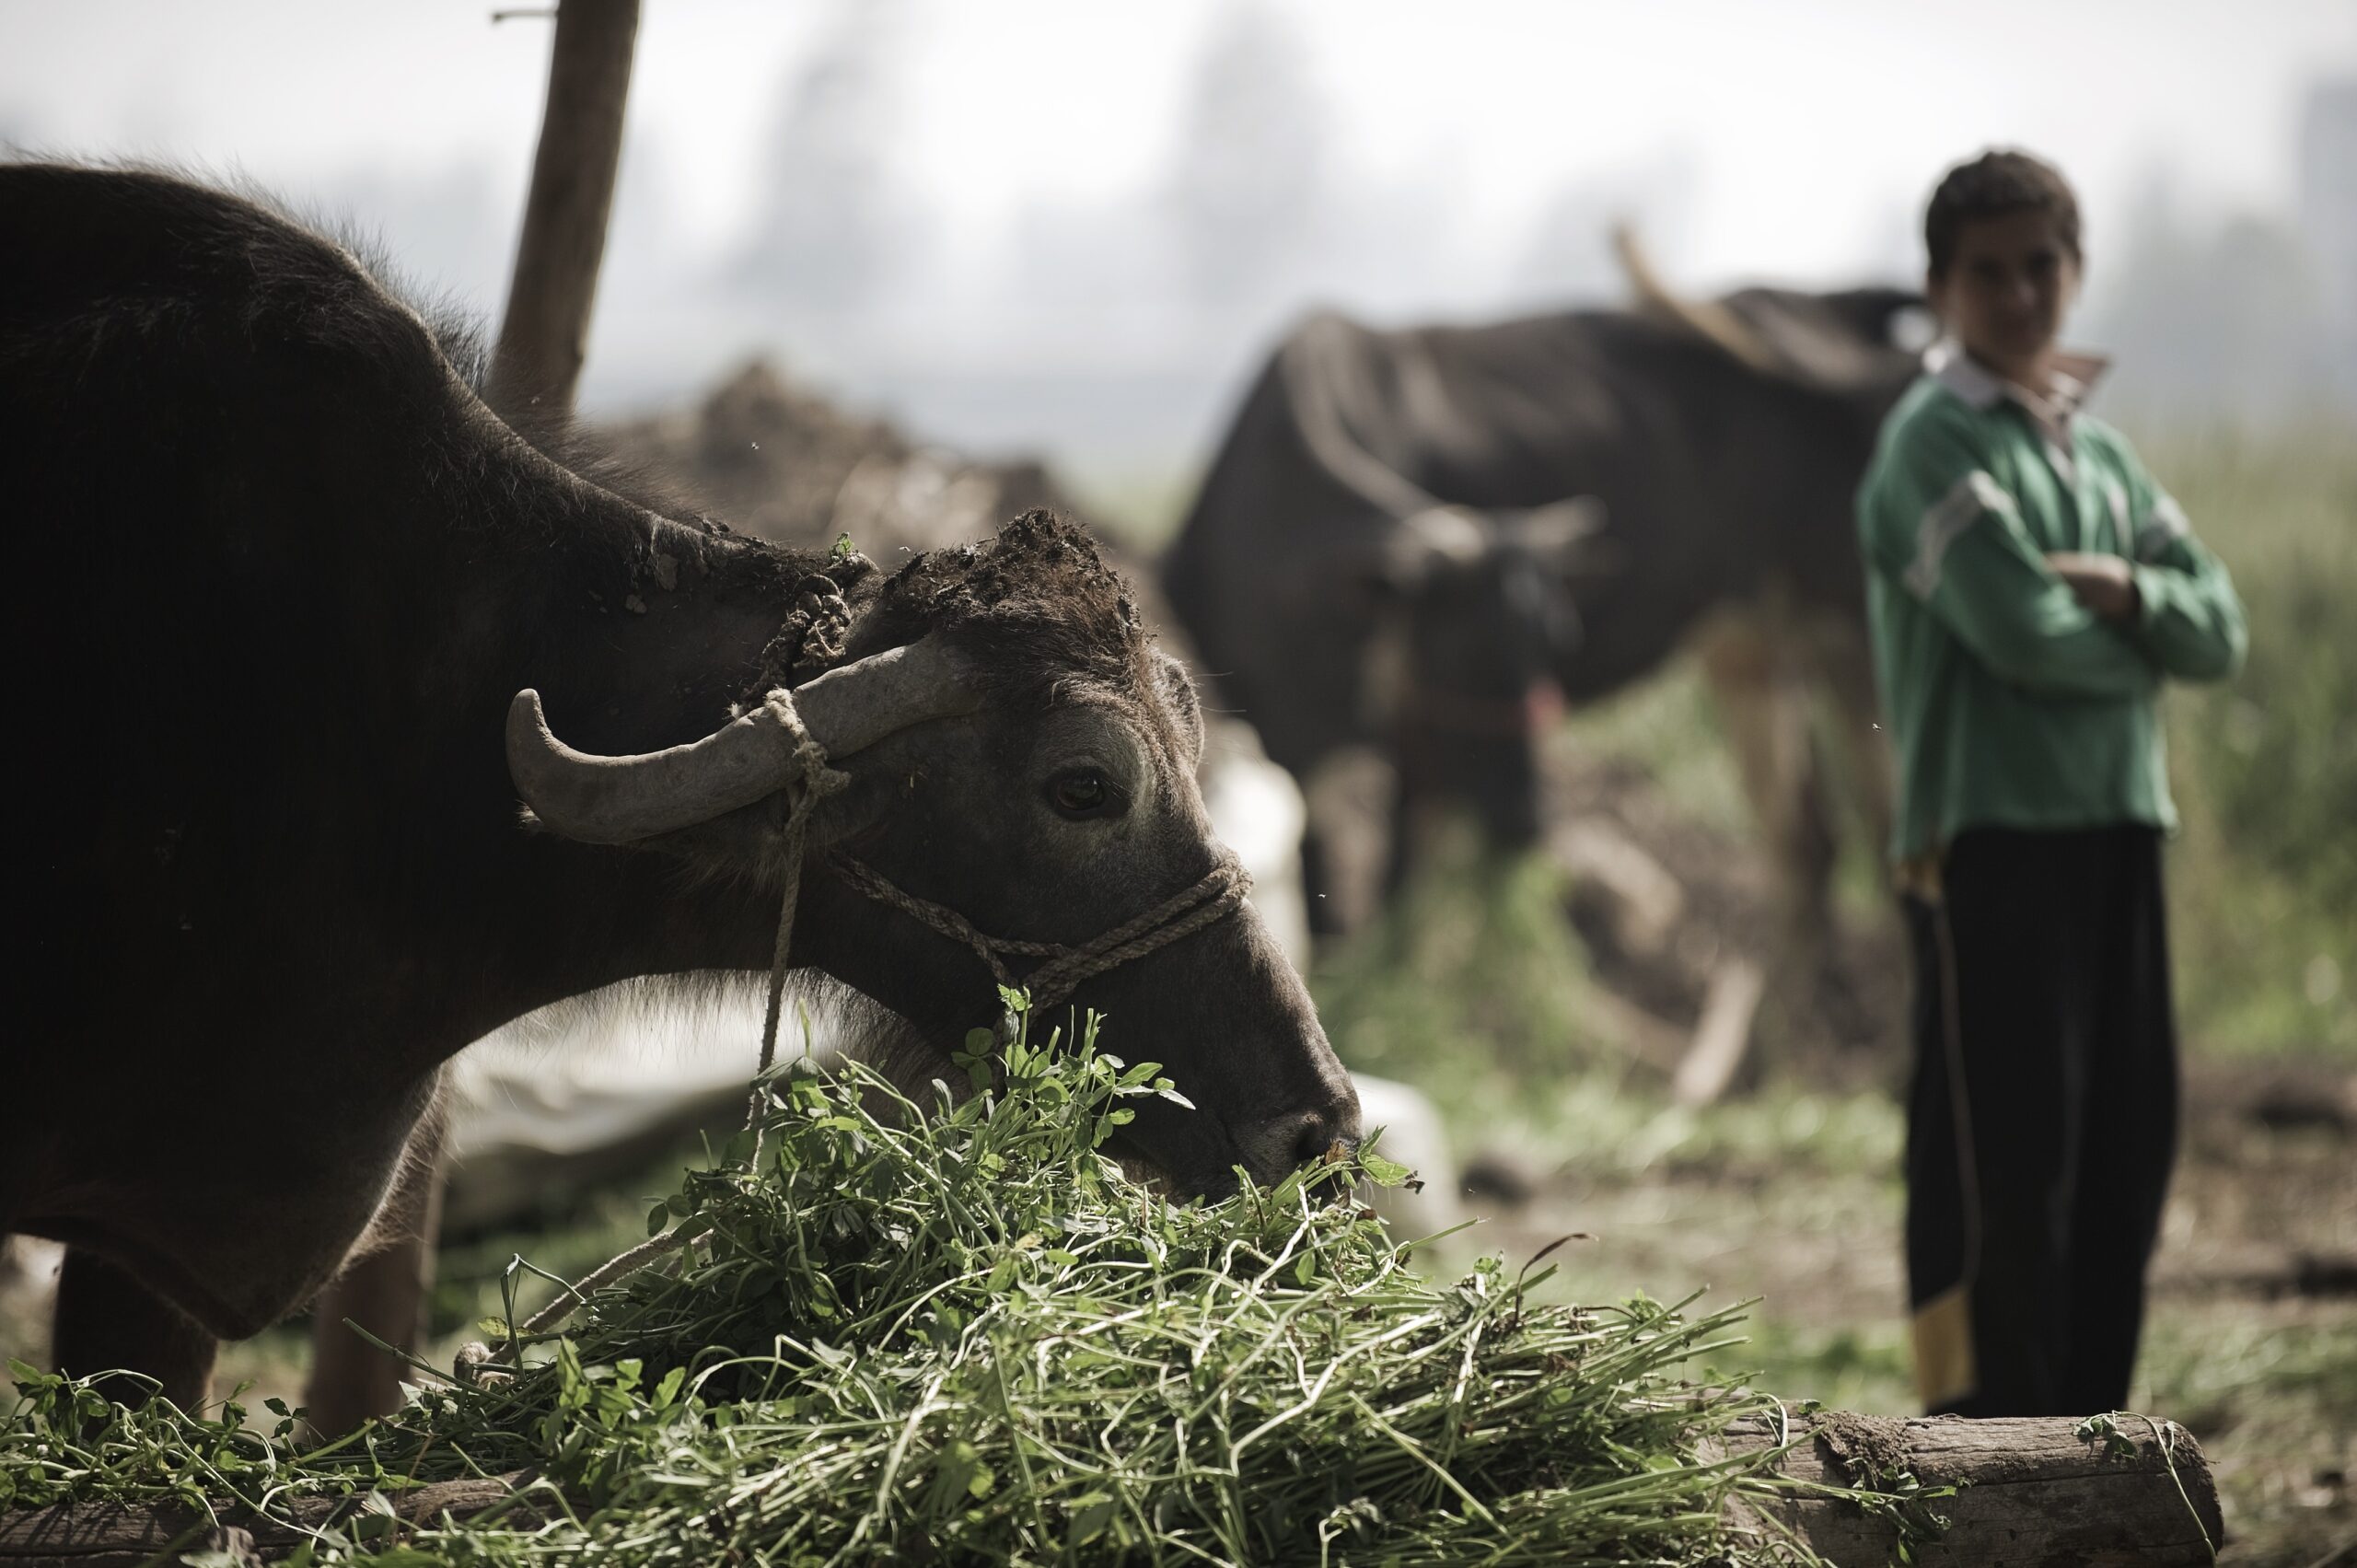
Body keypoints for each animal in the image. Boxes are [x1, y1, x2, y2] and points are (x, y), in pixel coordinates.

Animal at [1168, 247, 1922, 943]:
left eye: (1553, 643)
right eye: (1458, 654)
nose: (1527, 822)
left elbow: (1400, 868)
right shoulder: (1300, 735)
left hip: (1858, 622)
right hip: (1758, 641)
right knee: (1809, 846)